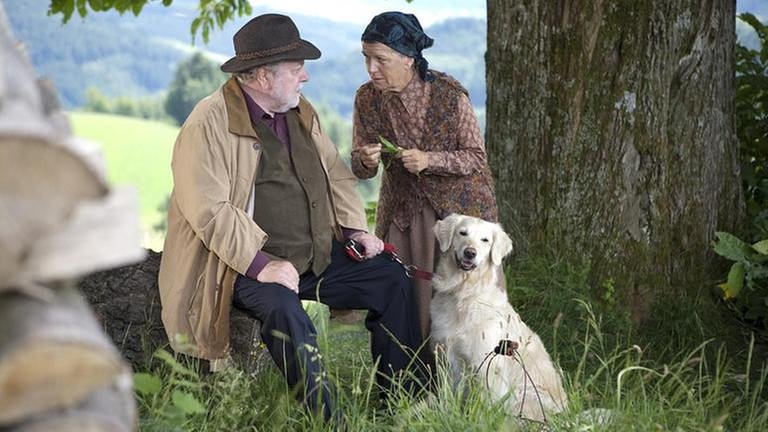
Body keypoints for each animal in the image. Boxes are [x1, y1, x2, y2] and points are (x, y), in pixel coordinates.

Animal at [428, 214, 568, 420]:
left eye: (485, 240)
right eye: (463, 233)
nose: (470, 253)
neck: (464, 293)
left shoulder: (487, 363)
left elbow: (485, 405)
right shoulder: (446, 358)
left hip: (523, 398)